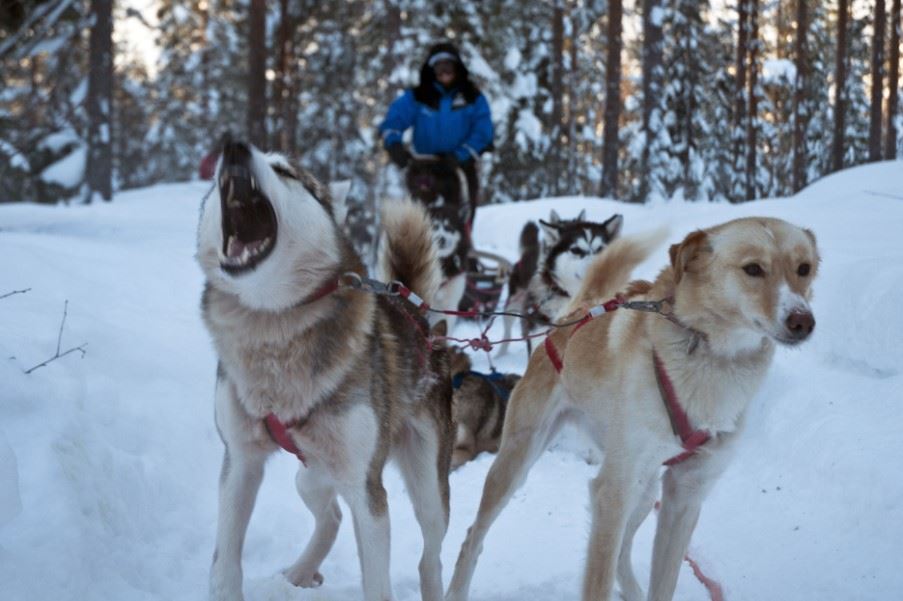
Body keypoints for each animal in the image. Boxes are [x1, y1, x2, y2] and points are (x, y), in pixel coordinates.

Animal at [448, 218, 824, 600]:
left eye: (803, 268)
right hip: (520, 462)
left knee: (621, 552)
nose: (802, 321)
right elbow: (598, 579)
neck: (710, 359)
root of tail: (579, 312)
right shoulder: (612, 492)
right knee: (473, 537)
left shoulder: (684, 494)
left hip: (644, 491)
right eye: (753, 269)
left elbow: (662, 581)